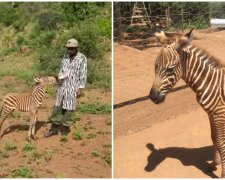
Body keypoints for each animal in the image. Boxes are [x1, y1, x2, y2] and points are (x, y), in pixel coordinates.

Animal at [149, 28, 225, 177]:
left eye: (170, 69)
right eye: (155, 66)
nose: (153, 97)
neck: (210, 82)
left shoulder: (219, 114)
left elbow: (220, 141)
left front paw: (223, 174)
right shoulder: (211, 113)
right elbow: (214, 138)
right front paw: (214, 164)